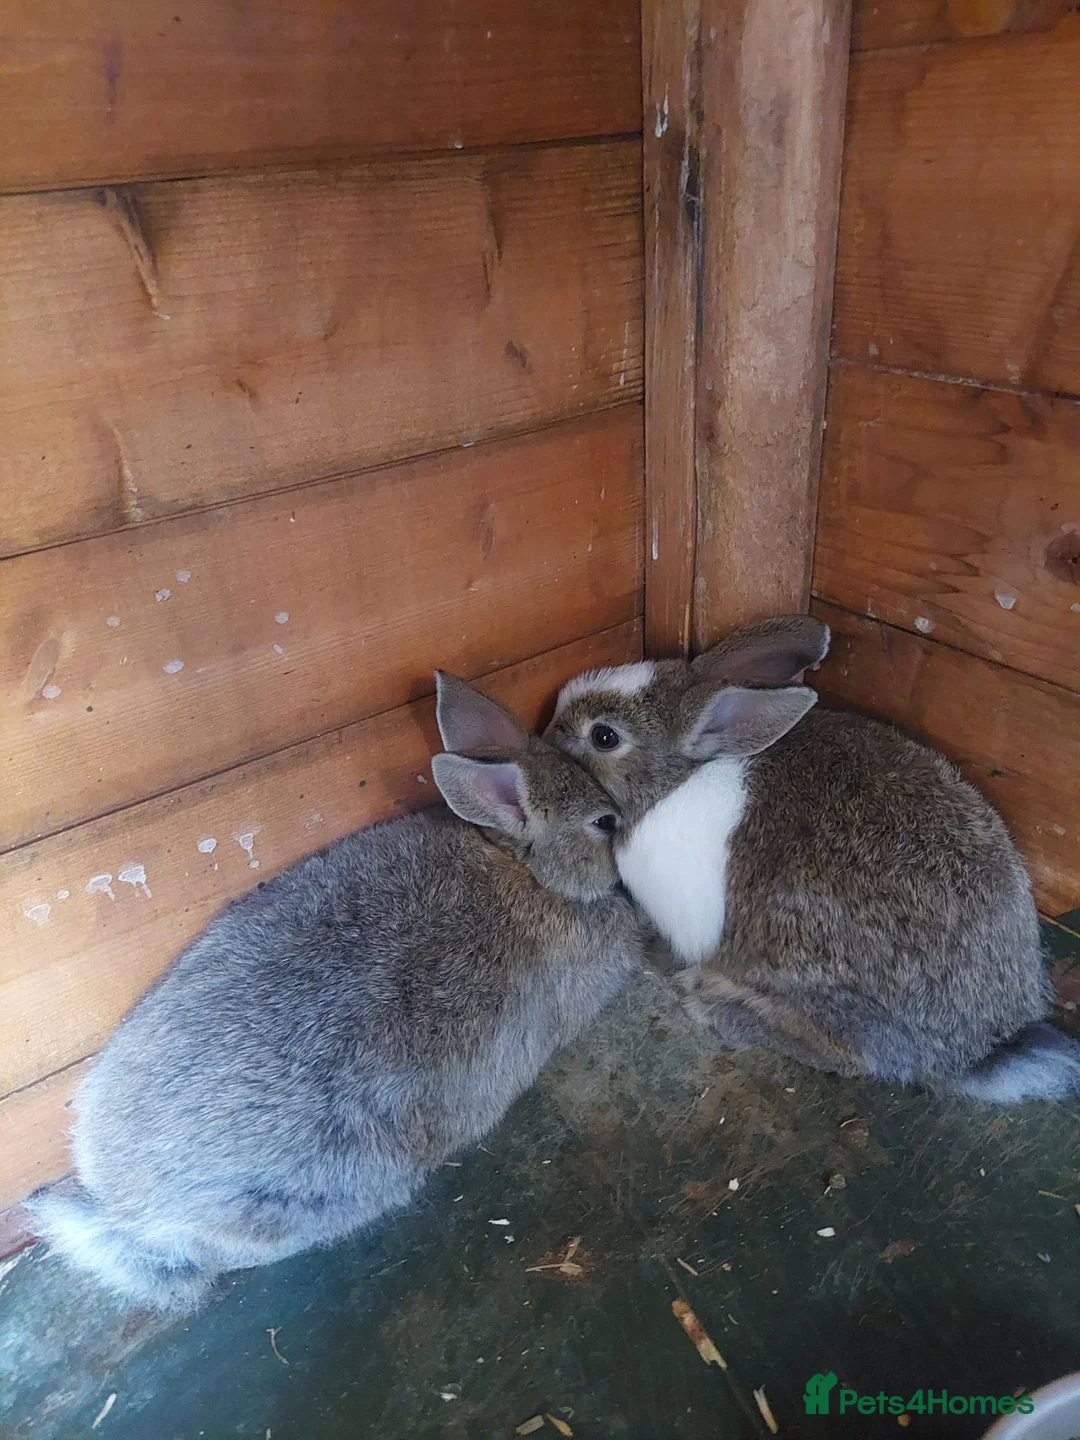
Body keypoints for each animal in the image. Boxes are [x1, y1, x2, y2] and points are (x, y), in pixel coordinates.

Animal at [544, 615, 1080, 1103]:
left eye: (604, 737)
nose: (548, 732)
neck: (675, 780)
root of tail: (981, 1050)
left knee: (849, 1056)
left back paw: (713, 1001)